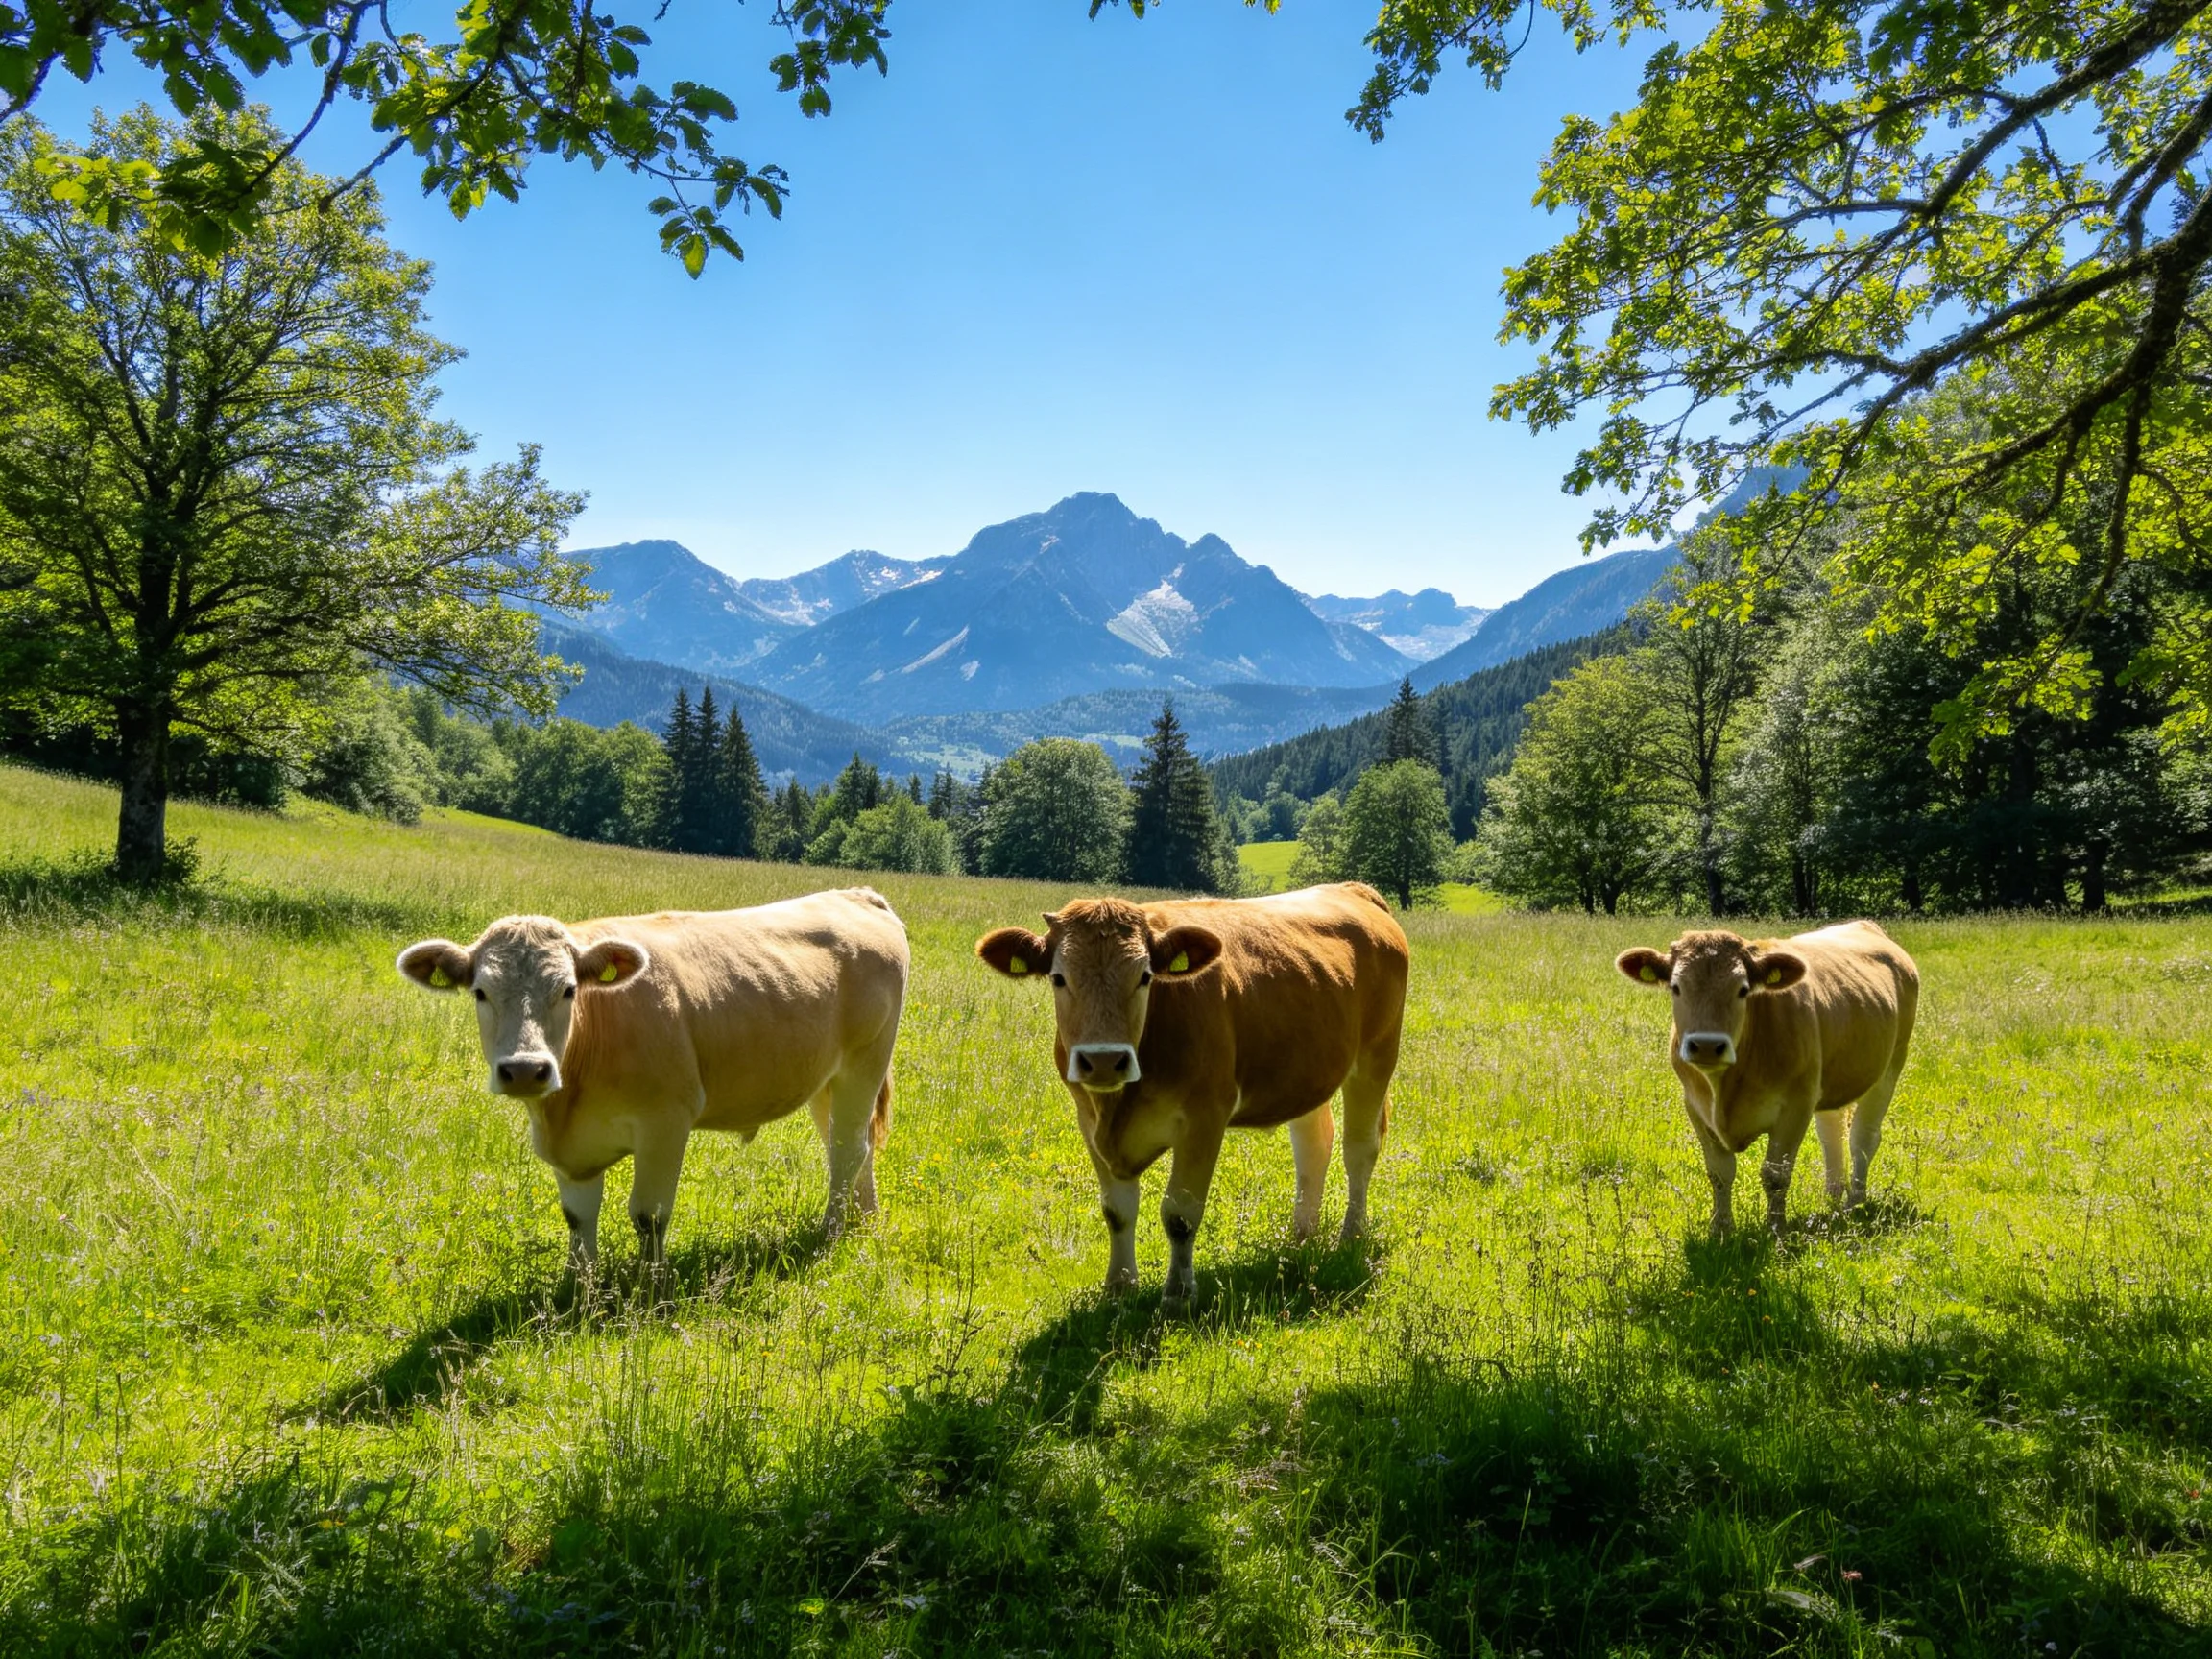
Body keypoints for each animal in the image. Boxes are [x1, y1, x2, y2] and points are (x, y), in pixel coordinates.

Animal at [397, 887, 908, 1280]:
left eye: (568, 990)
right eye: (480, 992)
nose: (525, 1069)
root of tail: (855, 895)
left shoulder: (666, 1121)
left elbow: (649, 1216)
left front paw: (651, 1290)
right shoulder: (572, 1150)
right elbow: (577, 1217)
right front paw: (578, 1291)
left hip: (865, 1062)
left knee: (846, 1149)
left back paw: (831, 1232)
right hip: (826, 1078)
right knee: (851, 1145)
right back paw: (865, 1220)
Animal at [977, 882, 1410, 1313]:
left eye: (1145, 976)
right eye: (1058, 978)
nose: (1103, 1061)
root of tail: (1352, 889)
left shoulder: (1205, 1117)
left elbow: (1180, 1214)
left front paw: (1179, 1294)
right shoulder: (1088, 1119)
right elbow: (1116, 1210)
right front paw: (1118, 1287)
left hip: (1377, 1056)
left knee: (1358, 1150)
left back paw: (1350, 1237)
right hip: (1307, 1071)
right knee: (1313, 1146)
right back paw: (1300, 1238)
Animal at [1615, 921, 1919, 1237]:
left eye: (1743, 989)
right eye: (1676, 987)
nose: (1707, 1046)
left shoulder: (1796, 1105)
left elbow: (1776, 1175)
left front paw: (1776, 1231)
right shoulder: (1695, 1107)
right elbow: (1719, 1172)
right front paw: (1721, 1230)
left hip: (1890, 1066)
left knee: (1862, 1138)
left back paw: (1854, 1204)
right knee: (1832, 1132)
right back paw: (1833, 1199)